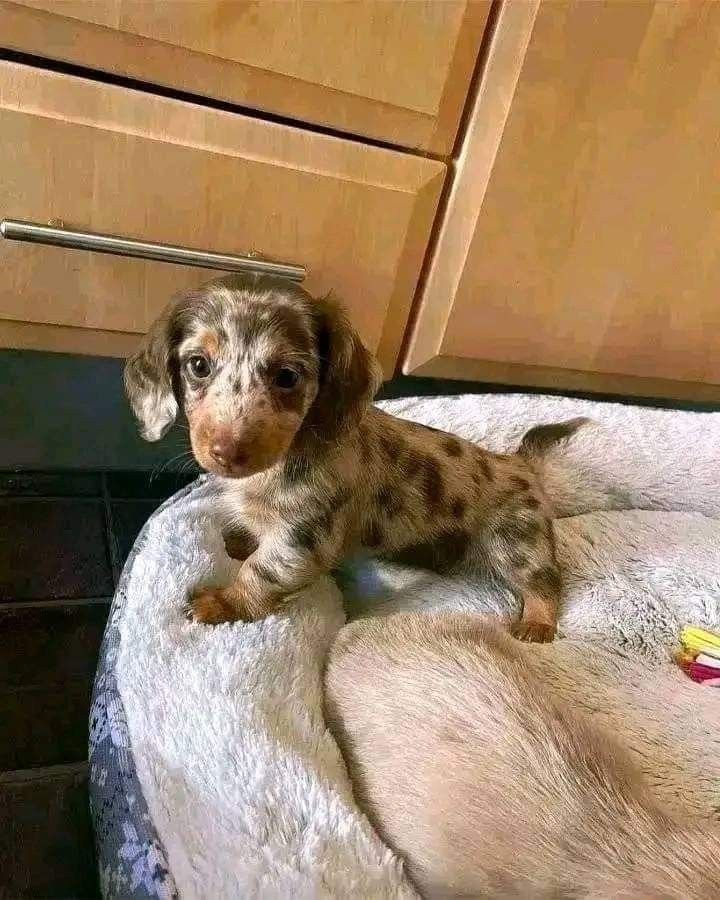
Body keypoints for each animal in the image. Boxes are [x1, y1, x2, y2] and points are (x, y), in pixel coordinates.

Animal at [125, 274, 584, 640]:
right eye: (198, 365)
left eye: (287, 376)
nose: (228, 453)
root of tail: (517, 462)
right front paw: (240, 540)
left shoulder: (302, 539)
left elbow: (260, 571)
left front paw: (223, 604)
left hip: (519, 544)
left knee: (545, 583)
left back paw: (537, 624)